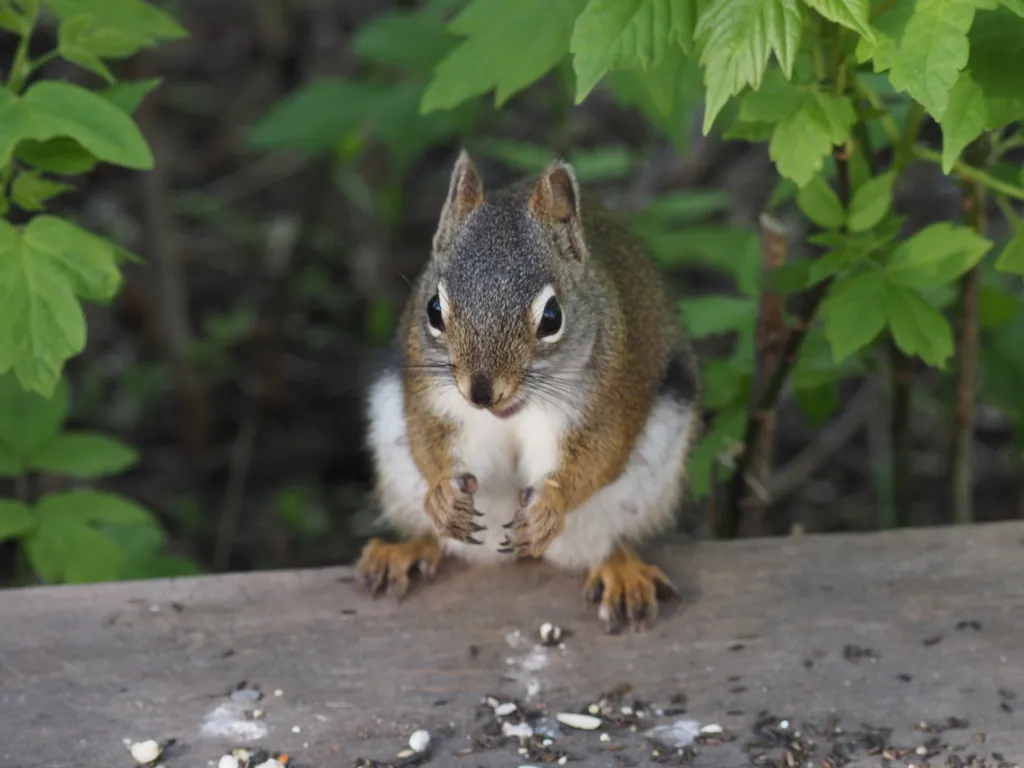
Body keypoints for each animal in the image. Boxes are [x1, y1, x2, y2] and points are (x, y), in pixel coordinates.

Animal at [357, 150, 701, 633]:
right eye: (433, 309)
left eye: (552, 317)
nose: (481, 392)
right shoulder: (427, 393)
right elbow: (427, 437)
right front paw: (443, 495)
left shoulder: (611, 395)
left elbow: (600, 454)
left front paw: (550, 503)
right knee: (438, 539)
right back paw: (406, 550)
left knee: (608, 541)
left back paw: (621, 571)